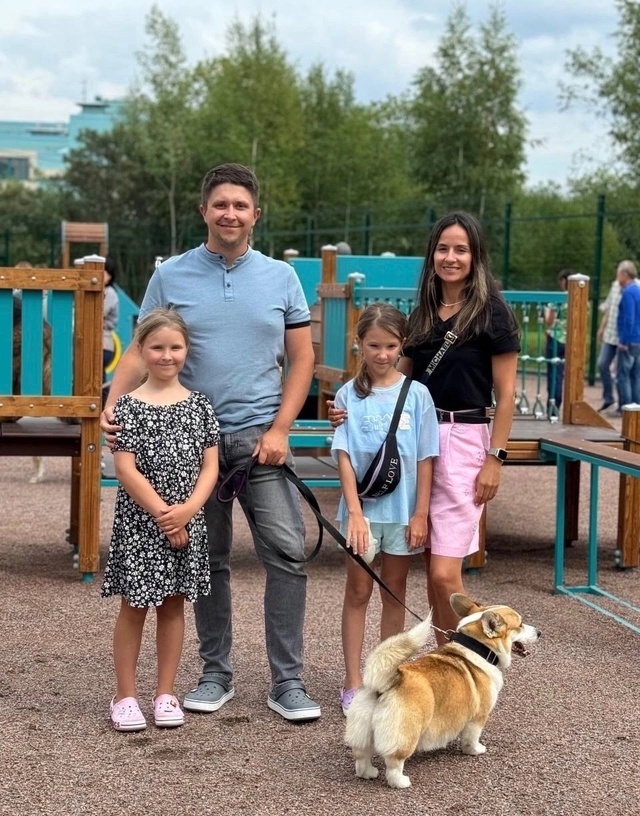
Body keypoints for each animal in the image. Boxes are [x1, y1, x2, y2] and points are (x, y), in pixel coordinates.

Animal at [345, 593, 540, 789]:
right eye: (520, 624)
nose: (539, 632)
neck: (477, 647)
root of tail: (387, 682)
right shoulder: (478, 717)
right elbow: (472, 738)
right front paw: (475, 750)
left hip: (362, 730)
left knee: (362, 757)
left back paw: (369, 773)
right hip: (406, 735)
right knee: (394, 763)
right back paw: (401, 782)